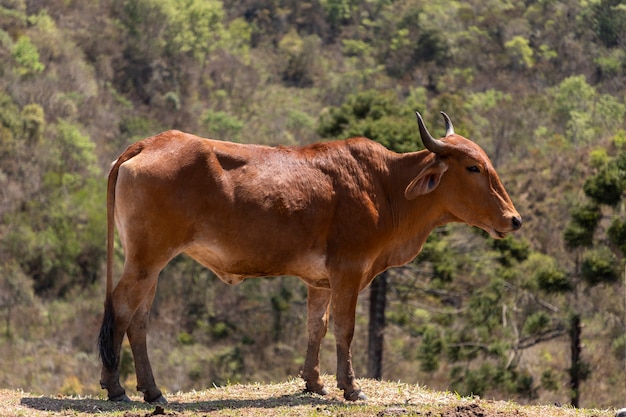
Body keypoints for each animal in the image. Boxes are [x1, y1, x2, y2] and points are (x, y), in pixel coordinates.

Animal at [97, 112, 516, 402]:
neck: (386, 186)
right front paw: (351, 387)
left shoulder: (320, 281)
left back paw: (152, 390)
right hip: (146, 261)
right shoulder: (349, 270)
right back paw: (116, 388)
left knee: (138, 319)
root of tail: (149, 143)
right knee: (122, 308)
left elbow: (318, 325)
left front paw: (314, 383)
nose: (514, 219)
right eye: (473, 167)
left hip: (151, 266)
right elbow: (345, 328)